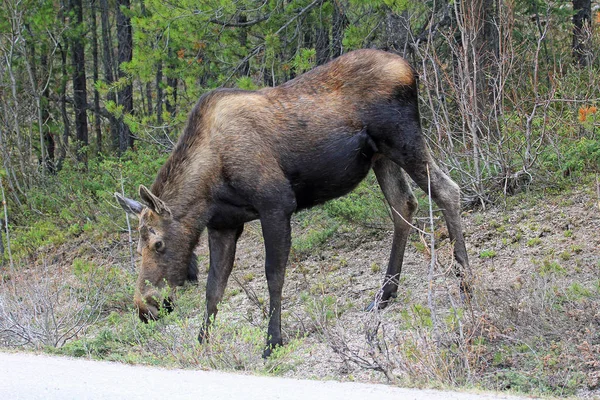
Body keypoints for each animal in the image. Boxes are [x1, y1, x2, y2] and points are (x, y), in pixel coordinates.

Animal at [116, 48, 468, 358]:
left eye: (159, 244)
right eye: (138, 247)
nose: (145, 307)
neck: (208, 187)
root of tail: (411, 70)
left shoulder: (276, 204)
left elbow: (274, 276)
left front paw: (273, 341)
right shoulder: (224, 225)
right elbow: (214, 287)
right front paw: (203, 343)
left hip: (403, 139)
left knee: (448, 190)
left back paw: (465, 283)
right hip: (381, 155)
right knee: (403, 206)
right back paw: (384, 294)